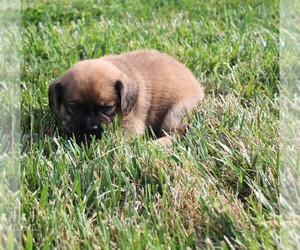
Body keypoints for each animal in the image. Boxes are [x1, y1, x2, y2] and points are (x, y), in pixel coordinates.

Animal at [48, 49, 204, 146]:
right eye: (75, 107)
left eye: (107, 108)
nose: (91, 128)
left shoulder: (130, 125)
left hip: (176, 113)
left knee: (175, 135)